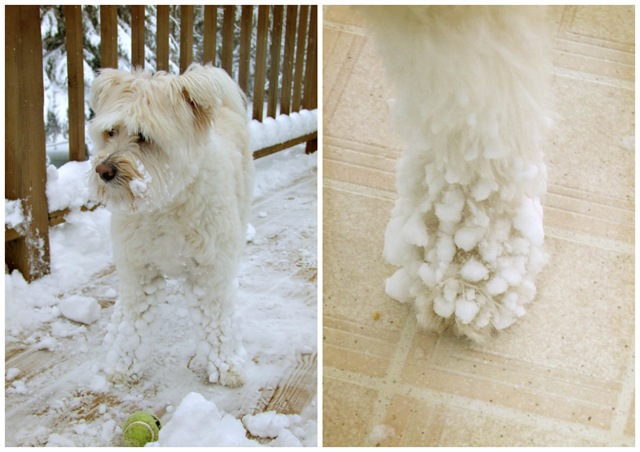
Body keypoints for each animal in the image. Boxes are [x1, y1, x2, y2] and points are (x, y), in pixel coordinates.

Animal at [89, 63, 254, 386]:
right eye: (110, 131)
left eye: (143, 136)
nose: (103, 170)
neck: (165, 204)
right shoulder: (138, 272)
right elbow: (133, 325)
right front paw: (123, 365)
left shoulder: (210, 273)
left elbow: (216, 323)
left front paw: (225, 366)